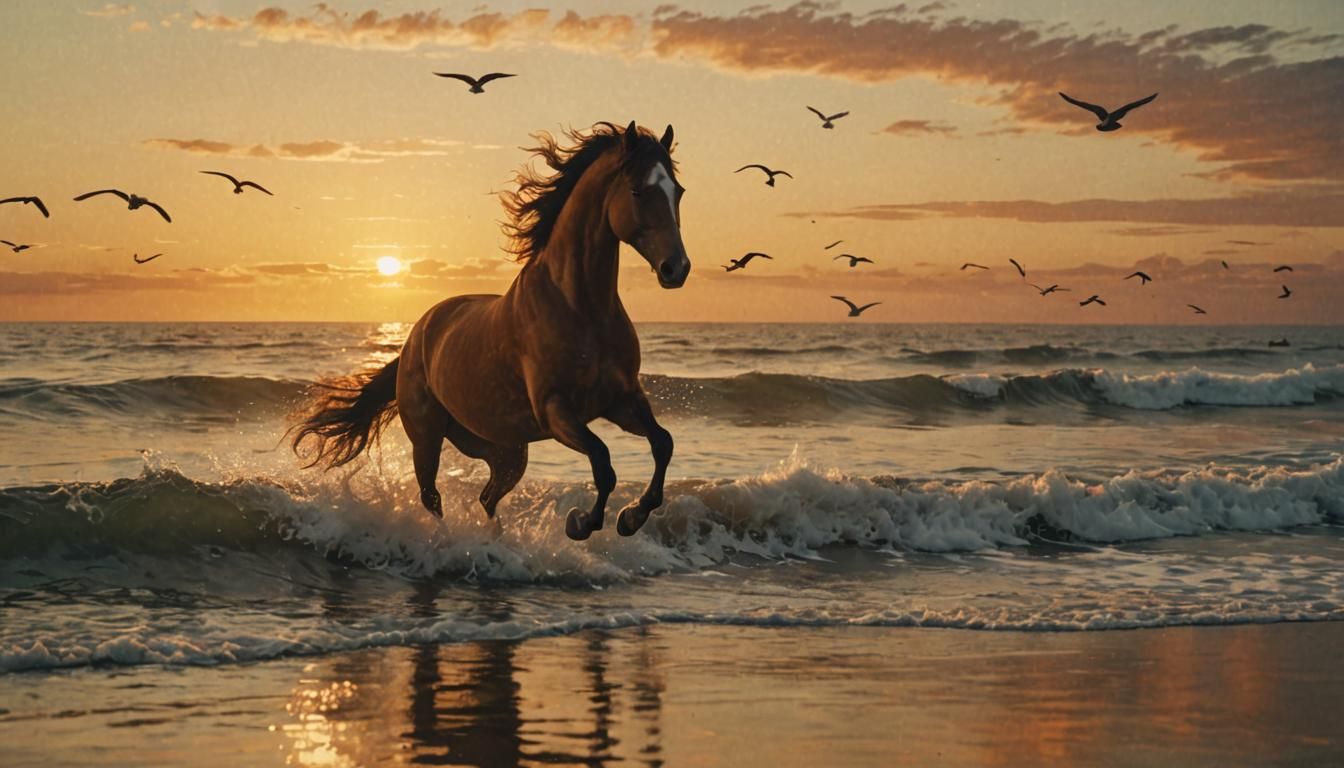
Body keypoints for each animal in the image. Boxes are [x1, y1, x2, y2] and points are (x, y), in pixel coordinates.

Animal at [290, 121, 690, 542]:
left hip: (505, 450)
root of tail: (416, 335)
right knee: (432, 498)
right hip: (427, 438)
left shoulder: (621, 400)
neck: (580, 309)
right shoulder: (556, 411)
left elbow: (662, 443)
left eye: (677, 191)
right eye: (637, 190)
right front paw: (583, 522)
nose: (676, 268)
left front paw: (632, 516)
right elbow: (603, 460)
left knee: (487, 497)